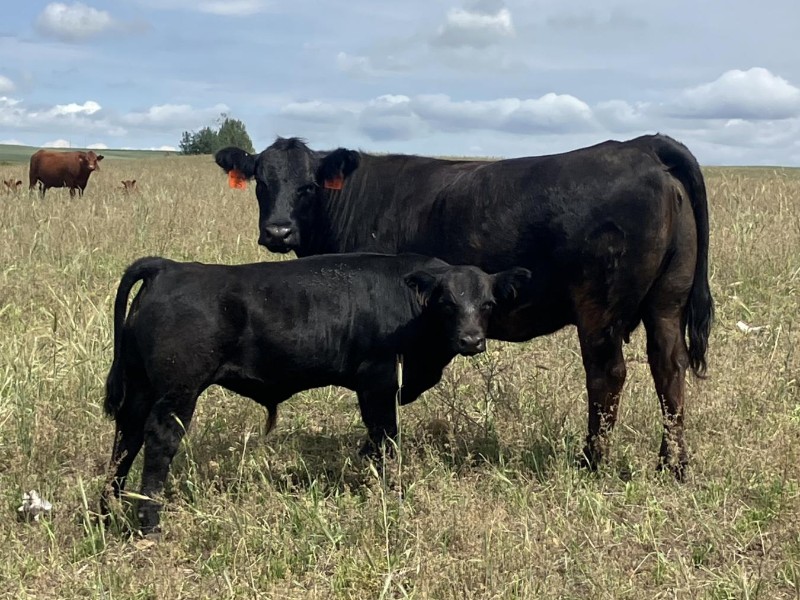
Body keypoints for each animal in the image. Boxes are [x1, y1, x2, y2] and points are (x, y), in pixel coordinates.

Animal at [101, 252, 531, 533]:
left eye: (487, 303)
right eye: (447, 303)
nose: (471, 340)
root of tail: (169, 267)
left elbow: (375, 441)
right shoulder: (378, 382)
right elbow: (386, 439)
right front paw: (391, 493)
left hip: (140, 388)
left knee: (126, 438)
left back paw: (106, 512)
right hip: (177, 392)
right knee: (158, 442)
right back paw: (149, 522)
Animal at [215, 134, 715, 479]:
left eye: (308, 186)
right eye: (261, 182)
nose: (277, 231)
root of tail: (641, 146)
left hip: (600, 307)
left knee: (607, 376)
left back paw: (591, 461)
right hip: (667, 302)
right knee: (669, 369)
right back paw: (673, 466)